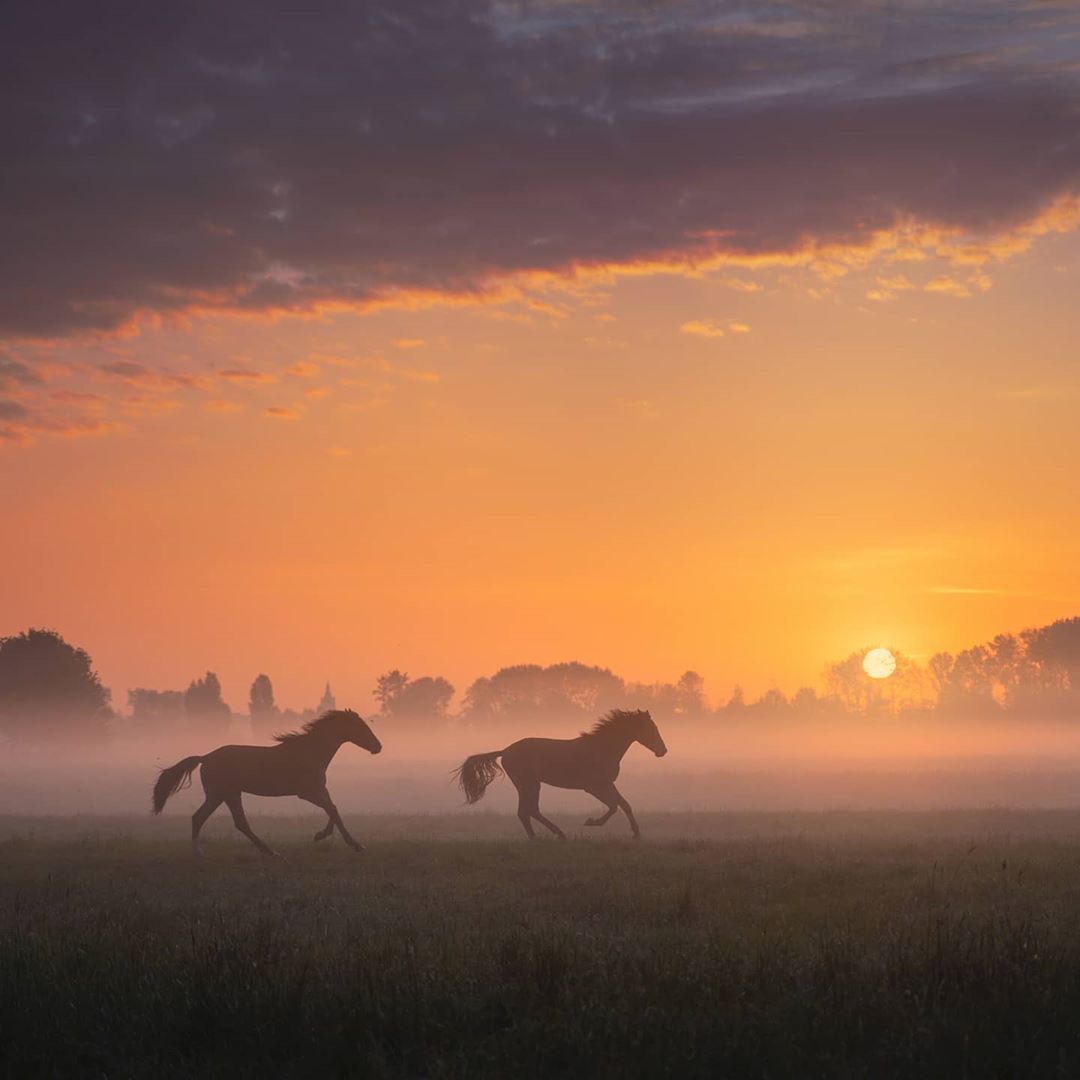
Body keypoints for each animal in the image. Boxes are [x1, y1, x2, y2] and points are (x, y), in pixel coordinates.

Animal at [152, 704, 380, 855]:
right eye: (360, 727)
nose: (378, 746)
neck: (310, 751)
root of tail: (205, 757)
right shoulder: (306, 792)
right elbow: (332, 809)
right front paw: (351, 843)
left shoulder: (319, 790)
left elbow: (333, 809)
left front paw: (324, 835)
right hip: (218, 794)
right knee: (199, 818)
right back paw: (199, 852)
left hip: (230, 794)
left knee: (239, 822)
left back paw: (269, 852)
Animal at [455, 708, 665, 842]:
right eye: (651, 728)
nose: (663, 751)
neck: (602, 748)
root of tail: (505, 751)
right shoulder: (595, 786)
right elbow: (614, 806)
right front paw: (591, 822)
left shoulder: (607, 784)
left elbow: (624, 804)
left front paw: (636, 833)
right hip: (529, 784)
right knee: (527, 811)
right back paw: (551, 835)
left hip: (530, 784)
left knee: (528, 811)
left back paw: (548, 836)